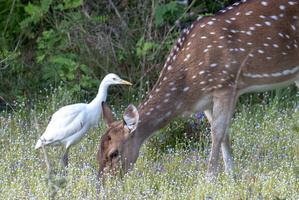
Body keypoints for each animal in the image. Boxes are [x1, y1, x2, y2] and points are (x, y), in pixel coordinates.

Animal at [97, 0, 298, 178]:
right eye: (97, 153)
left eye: (114, 153)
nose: (105, 186)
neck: (189, 88)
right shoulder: (206, 101)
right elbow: (224, 133)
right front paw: (231, 178)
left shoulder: (226, 84)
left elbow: (217, 132)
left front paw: (210, 179)